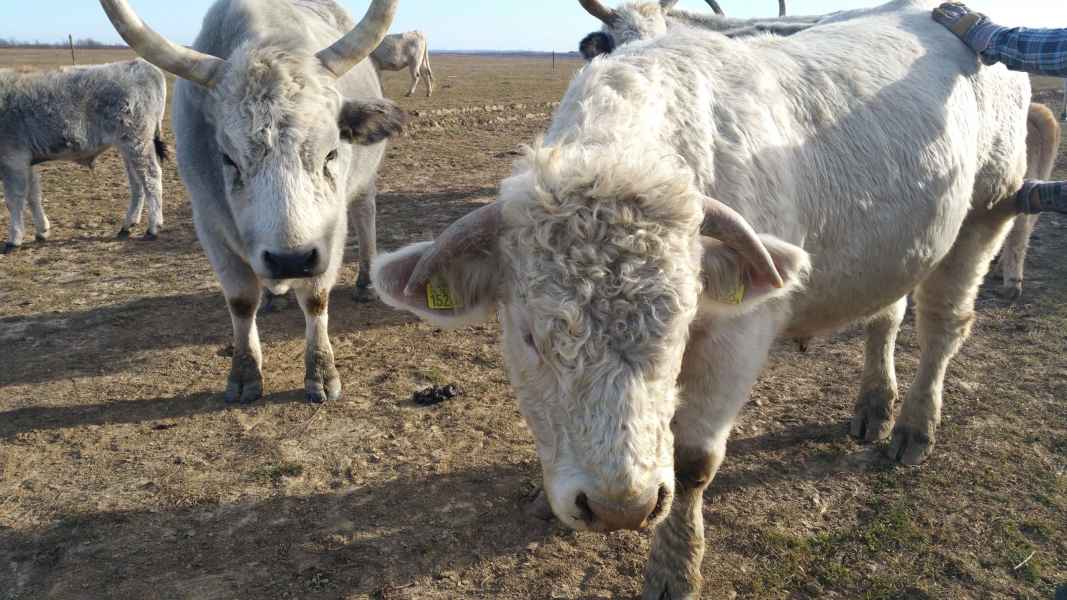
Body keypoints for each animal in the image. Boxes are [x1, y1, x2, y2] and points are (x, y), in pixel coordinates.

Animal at [0, 59, 168, 252]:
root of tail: (143, 65)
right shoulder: (26, 161)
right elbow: (33, 195)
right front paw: (42, 230)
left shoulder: (12, 159)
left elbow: (14, 200)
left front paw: (13, 239)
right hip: (127, 147)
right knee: (137, 183)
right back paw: (127, 226)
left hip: (137, 142)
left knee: (151, 178)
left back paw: (153, 228)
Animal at [99, 0, 406, 404]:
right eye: (228, 159)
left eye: (331, 153)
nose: (290, 259)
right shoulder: (209, 224)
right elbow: (242, 301)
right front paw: (244, 374)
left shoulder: (329, 231)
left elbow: (316, 299)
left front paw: (321, 374)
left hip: (363, 187)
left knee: (365, 215)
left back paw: (365, 283)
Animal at [371, 1, 1056, 597]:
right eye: (531, 338)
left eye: (678, 330)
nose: (621, 507)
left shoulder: (737, 338)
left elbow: (692, 459)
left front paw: (674, 571)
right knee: (885, 316)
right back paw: (873, 407)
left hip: (986, 212)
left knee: (943, 324)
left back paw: (914, 427)